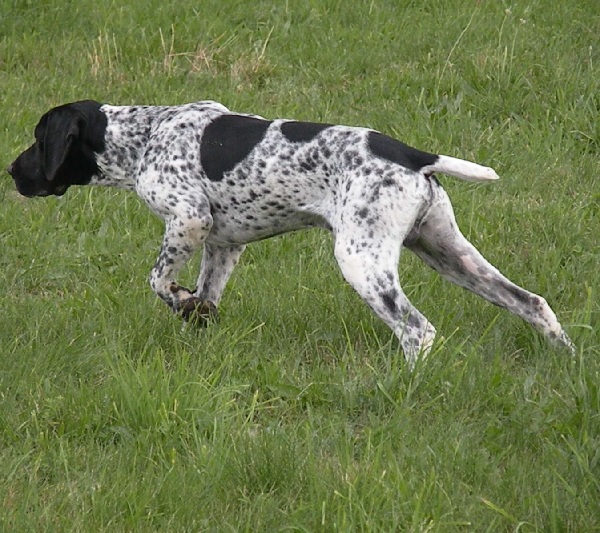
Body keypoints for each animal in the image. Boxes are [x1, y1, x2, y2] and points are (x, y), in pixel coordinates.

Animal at [7, 98, 576, 366]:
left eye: (38, 140)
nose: (11, 172)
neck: (144, 135)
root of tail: (412, 154)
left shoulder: (188, 220)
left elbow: (159, 282)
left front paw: (179, 301)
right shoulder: (223, 244)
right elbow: (205, 301)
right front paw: (196, 318)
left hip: (363, 262)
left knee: (418, 330)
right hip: (449, 255)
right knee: (533, 303)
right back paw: (568, 362)